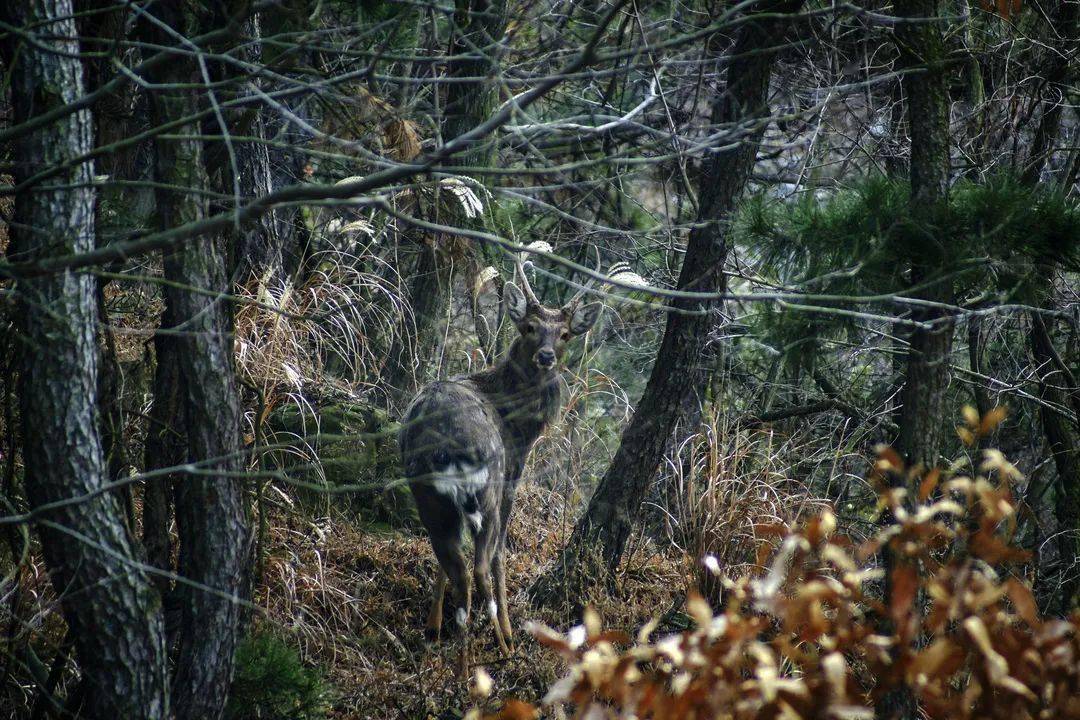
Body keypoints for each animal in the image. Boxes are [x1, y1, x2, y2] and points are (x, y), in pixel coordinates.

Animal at [399, 255, 604, 656]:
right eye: (529, 327)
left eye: (565, 334)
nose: (546, 356)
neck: (518, 423)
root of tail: (450, 445)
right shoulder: (513, 472)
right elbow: (501, 553)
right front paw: (509, 629)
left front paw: (433, 624)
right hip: (488, 492)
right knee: (479, 564)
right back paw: (501, 644)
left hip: (426, 492)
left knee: (454, 562)